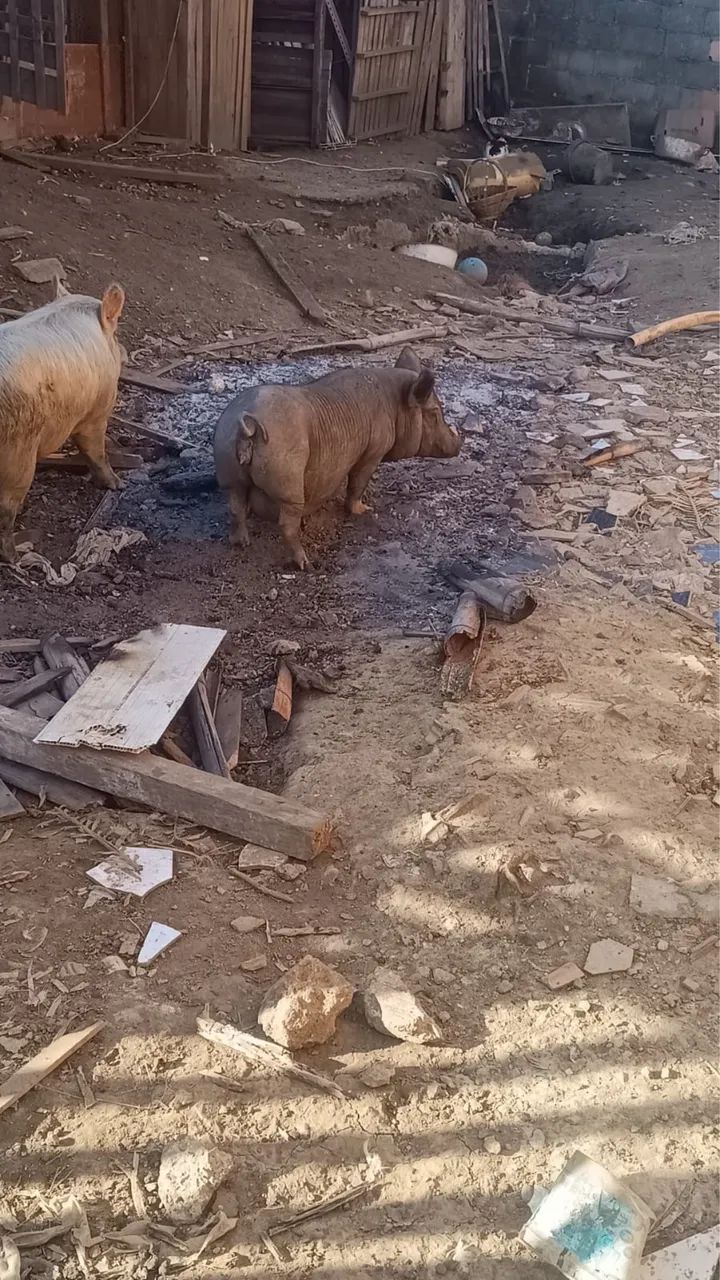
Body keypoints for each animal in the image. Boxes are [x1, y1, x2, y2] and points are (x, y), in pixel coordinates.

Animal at [0, 282, 125, 562]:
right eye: (116, 335)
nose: (124, 352)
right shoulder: (96, 411)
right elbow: (95, 451)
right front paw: (117, 485)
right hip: (18, 454)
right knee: (5, 509)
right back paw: (14, 557)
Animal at [213, 348, 461, 569]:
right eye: (435, 413)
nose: (458, 446)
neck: (397, 405)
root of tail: (248, 424)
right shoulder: (372, 453)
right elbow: (357, 483)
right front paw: (364, 510)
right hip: (287, 475)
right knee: (287, 521)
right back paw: (305, 564)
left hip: (227, 461)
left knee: (235, 504)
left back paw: (241, 544)